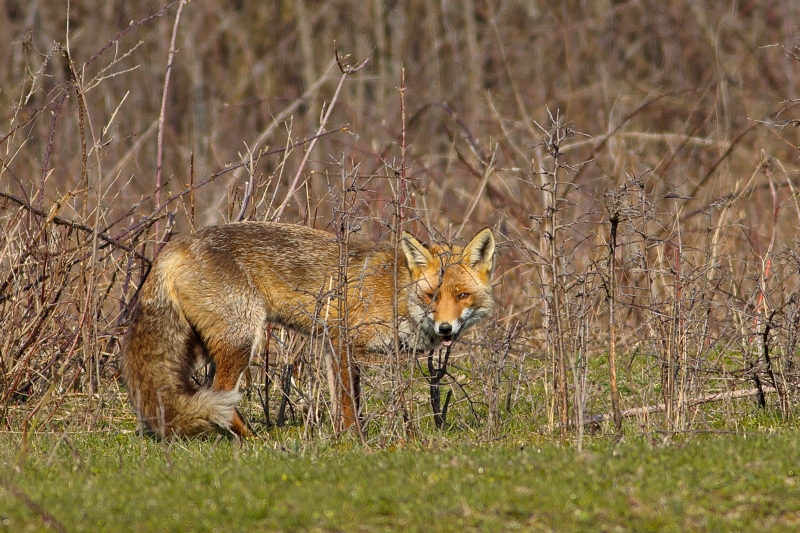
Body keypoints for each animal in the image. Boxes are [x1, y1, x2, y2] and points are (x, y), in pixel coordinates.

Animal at [120, 222, 494, 438]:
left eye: (462, 295)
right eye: (432, 296)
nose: (445, 328)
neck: (396, 294)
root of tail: (175, 246)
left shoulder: (331, 345)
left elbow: (343, 400)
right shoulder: (342, 340)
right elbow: (348, 403)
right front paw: (356, 441)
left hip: (204, 343)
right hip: (243, 338)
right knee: (220, 391)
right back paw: (253, 441)